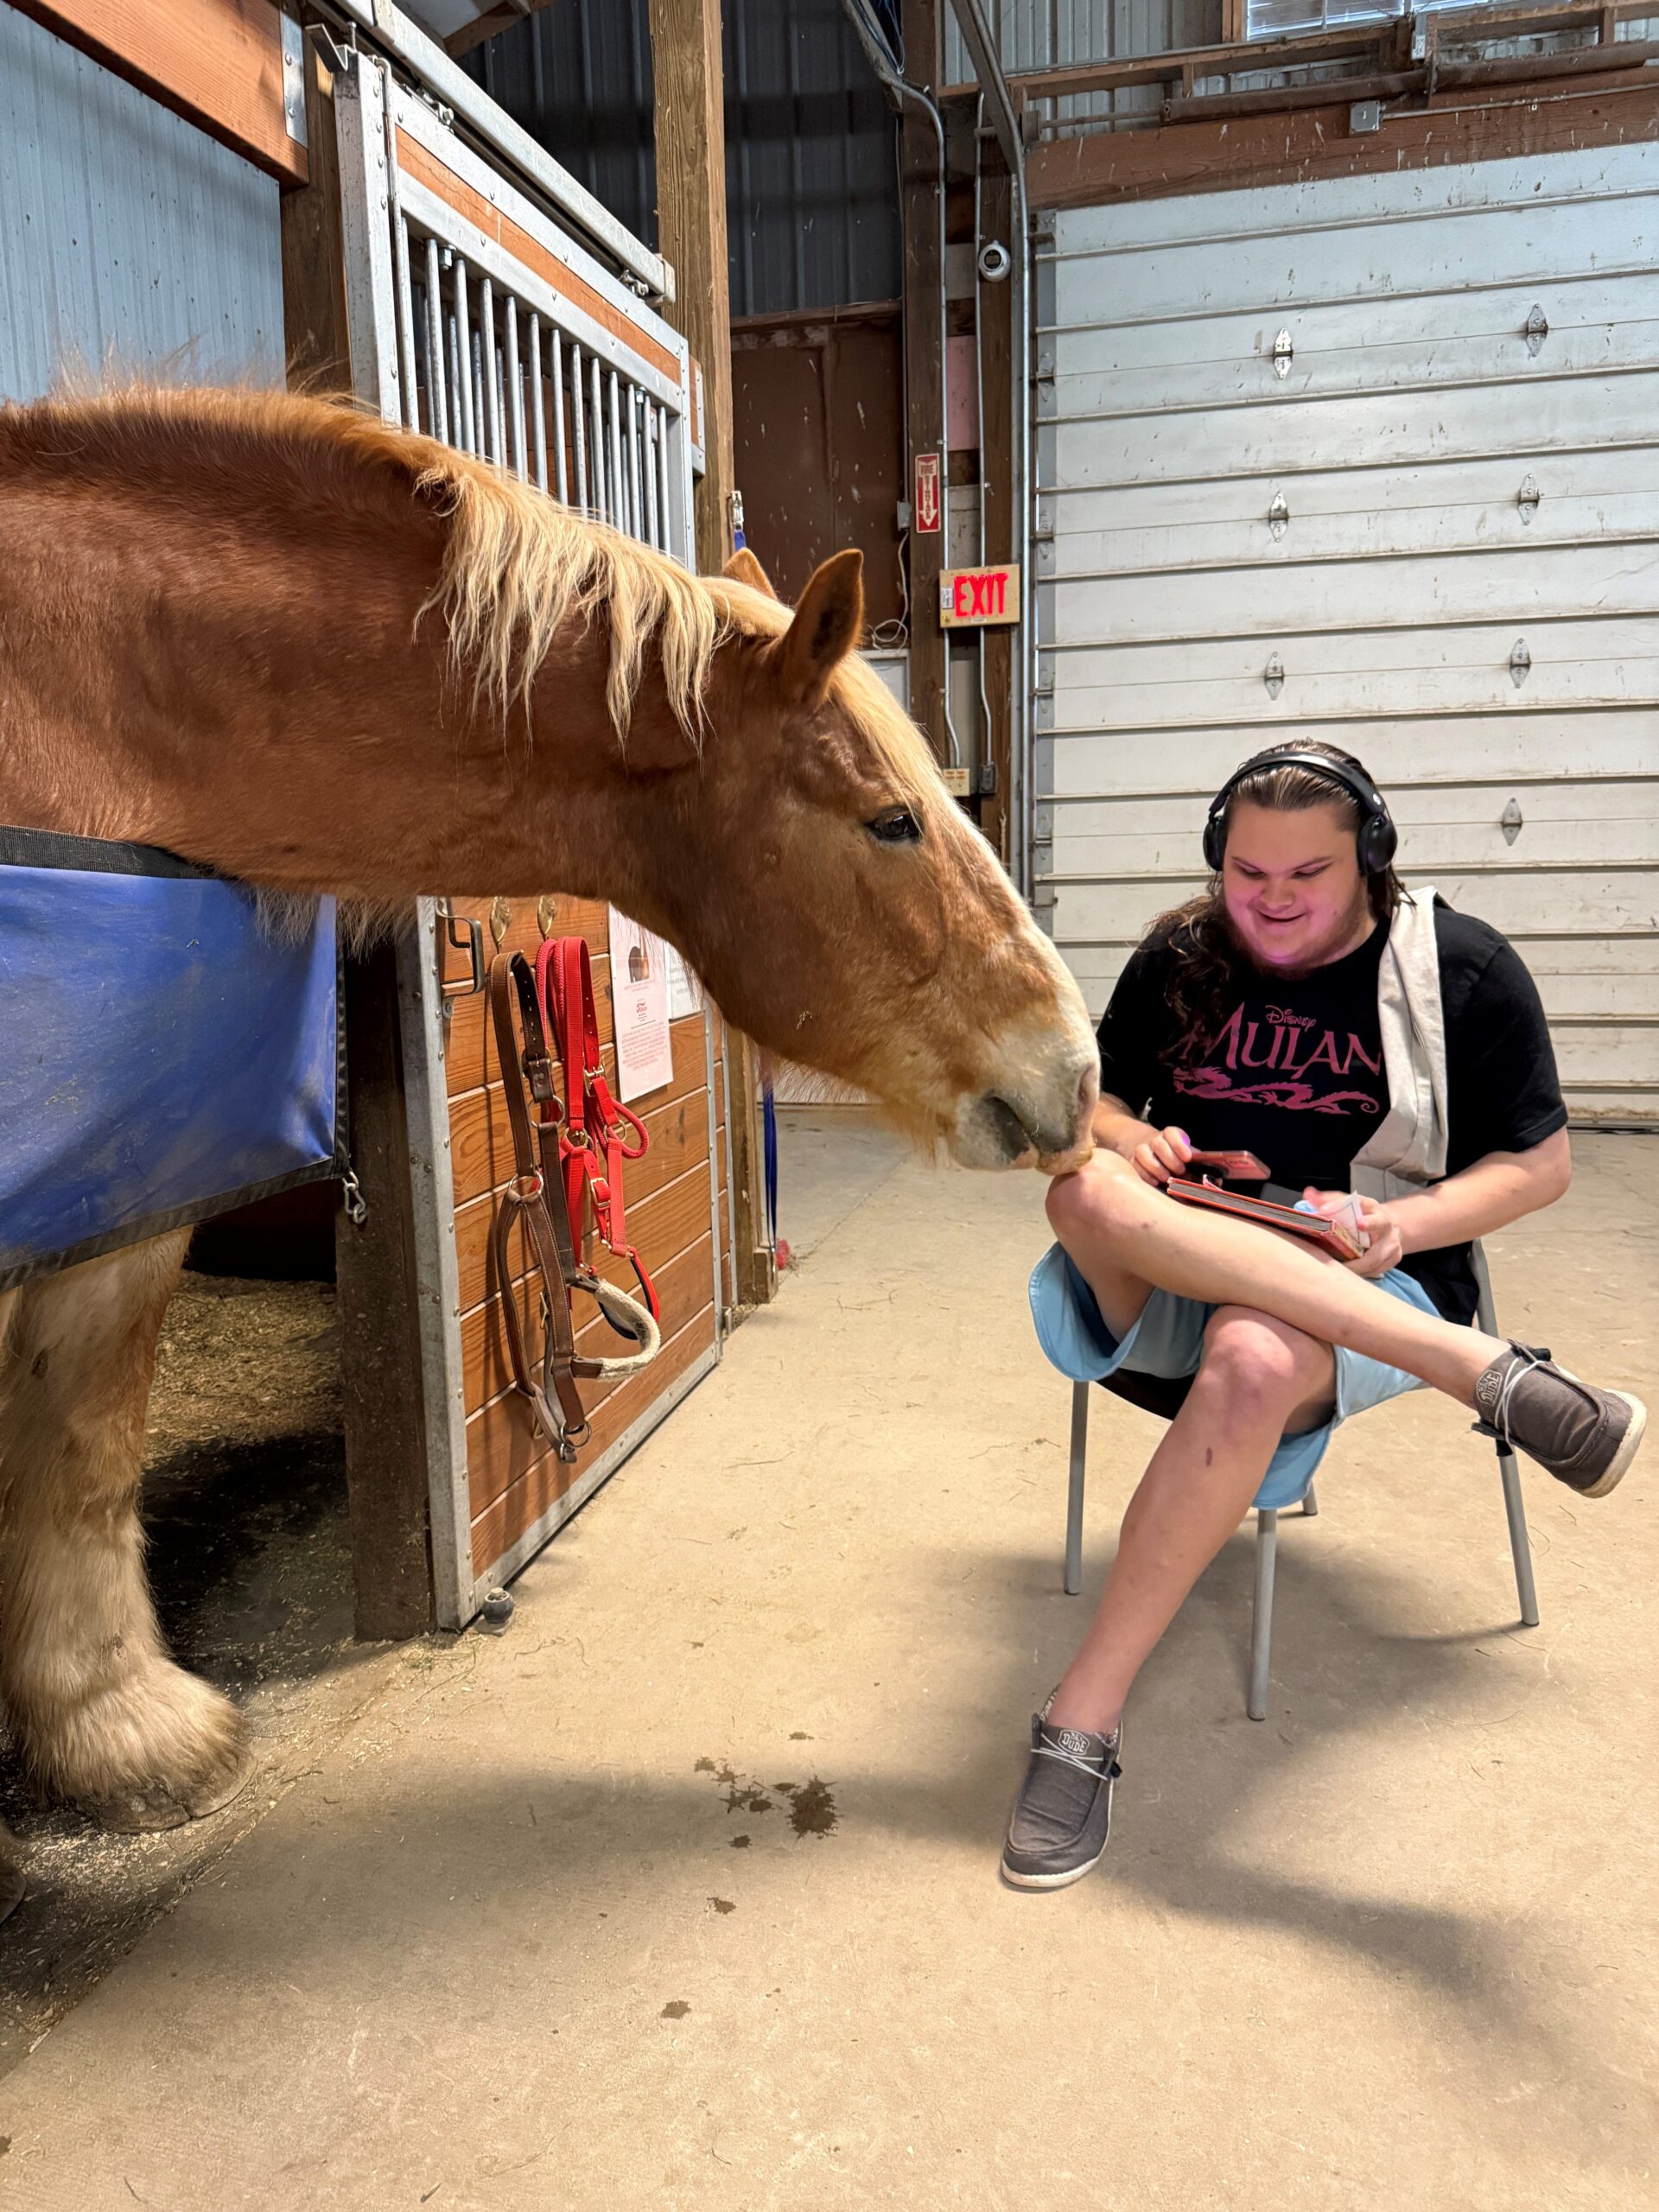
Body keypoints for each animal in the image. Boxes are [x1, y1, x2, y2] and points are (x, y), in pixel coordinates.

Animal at [0, 386, 1098, 1914]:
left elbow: (83, 1425)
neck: (79, 704)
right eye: (893, 818)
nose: (1077, 1071)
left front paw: (116, 1733)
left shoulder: (131, 1171)